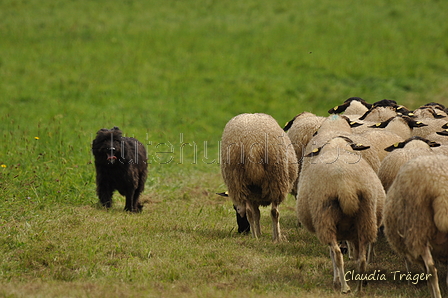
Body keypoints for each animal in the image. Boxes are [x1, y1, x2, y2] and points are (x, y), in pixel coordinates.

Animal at [220, 113, 298, 241]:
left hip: (241, 182)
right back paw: (276, 238)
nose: (241, 231)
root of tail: (253, 147)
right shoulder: (255, 196)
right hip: (276, 180)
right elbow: (258, 214)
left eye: (235, 208)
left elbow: (256, 214)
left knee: (251, 212)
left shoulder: (254, 196)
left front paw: (259, 233)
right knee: (274, 212)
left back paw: (256, 237)